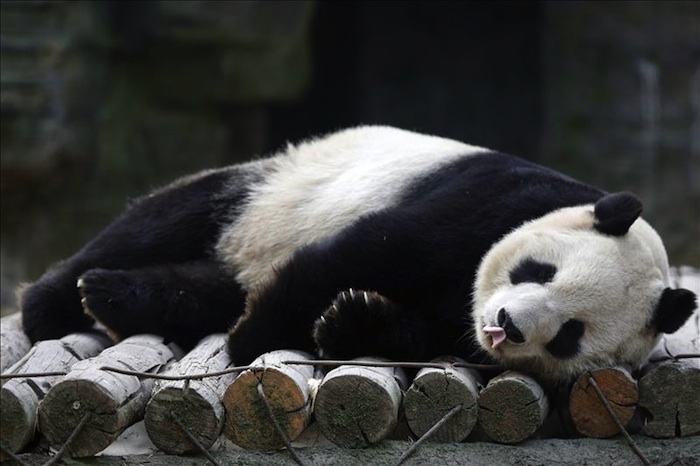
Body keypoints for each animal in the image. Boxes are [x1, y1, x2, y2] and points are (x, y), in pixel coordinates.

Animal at [19, 125, 697, 385]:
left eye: (568, 335)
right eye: (540, 272)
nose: (506, 325)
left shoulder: (460, 326)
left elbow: (422, 333)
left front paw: (349, 319)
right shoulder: (491, 200)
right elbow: (362, 251)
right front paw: (254, 339)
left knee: (203, 287)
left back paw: (122, 301)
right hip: (271, 190)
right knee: (167, 219)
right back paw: (66, 298)